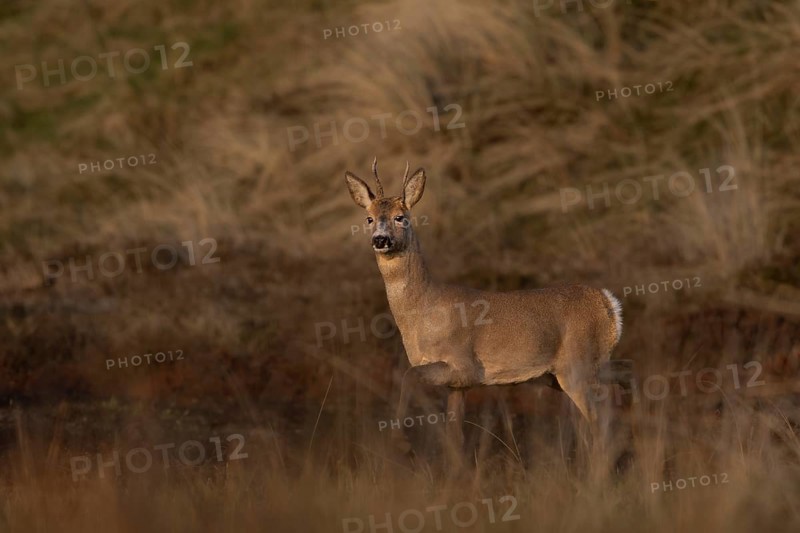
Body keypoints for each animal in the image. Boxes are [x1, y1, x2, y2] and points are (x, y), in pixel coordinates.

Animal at [345, 159, 631, 464]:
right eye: (369, 218)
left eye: (401, 217)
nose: (381, 239)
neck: (422, 310)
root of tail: (608, 303)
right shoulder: (459, 384)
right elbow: (454, 438)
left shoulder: (464, 365)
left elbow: (407, 376)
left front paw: (400, 443)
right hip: (574, 368)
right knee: (627, 372)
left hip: (576, 365)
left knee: (601, 425)